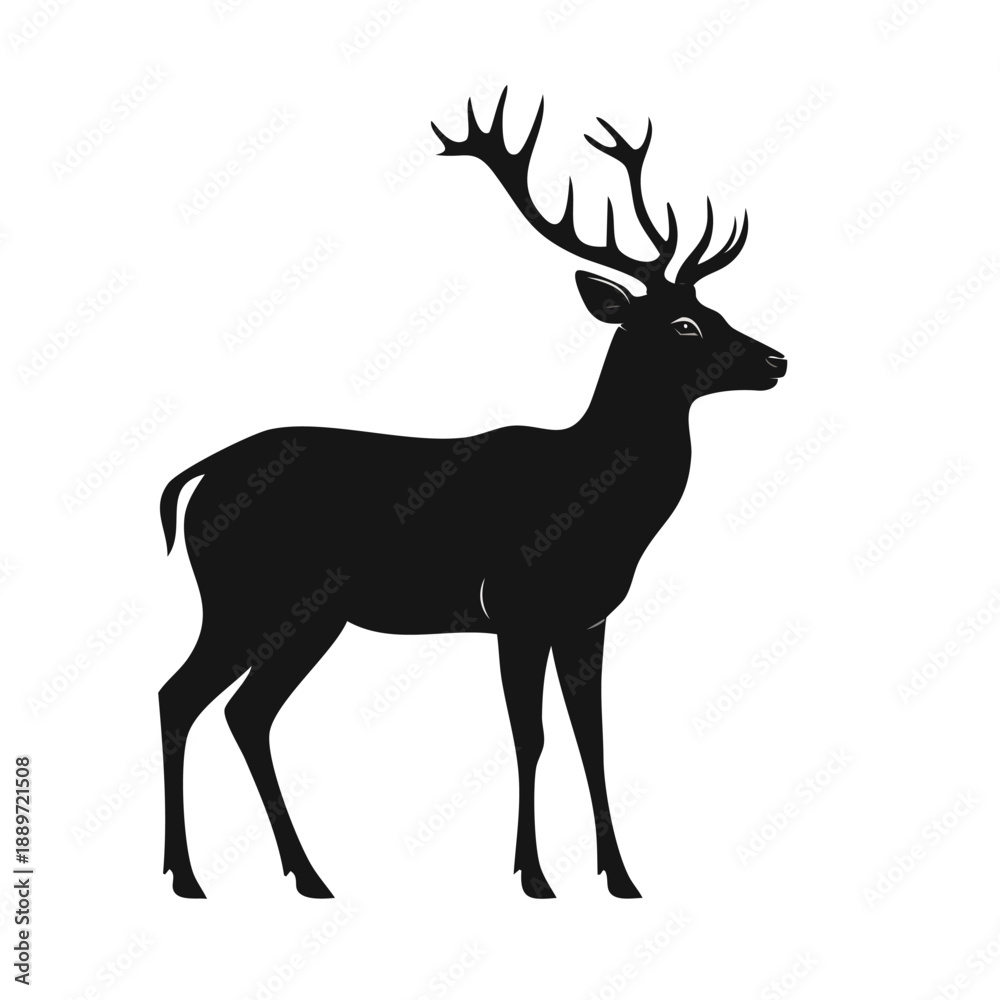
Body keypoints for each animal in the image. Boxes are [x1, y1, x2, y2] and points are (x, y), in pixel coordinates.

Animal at [157, 88, 787, 901]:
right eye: (684, 323)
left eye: (716, 310)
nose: (776, 360)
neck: (599, 509)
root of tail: (201, 474)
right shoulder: (514, 607)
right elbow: (531, 737)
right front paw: (534, 877)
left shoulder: (586, 618)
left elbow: (592, 738)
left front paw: (620, 877)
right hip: (250, 596)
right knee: (186, 696)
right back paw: (191, 876)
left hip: (302, 613)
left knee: (241, 710)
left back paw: (302, 875)